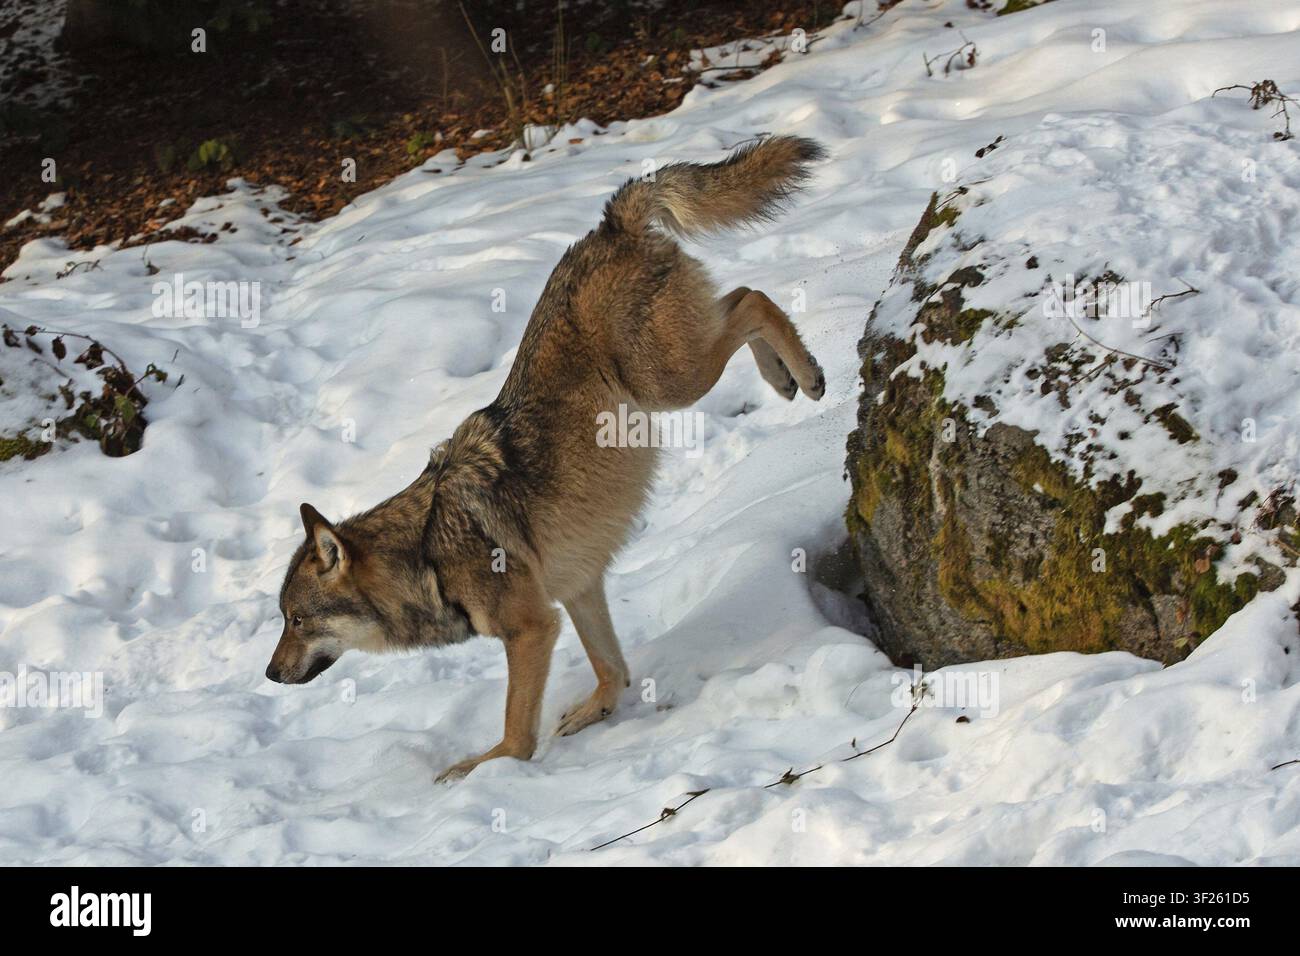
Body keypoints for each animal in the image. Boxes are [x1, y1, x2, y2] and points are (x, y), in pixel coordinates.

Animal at [266, 135, 827, 780]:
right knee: (740, 299)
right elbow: (612, 668)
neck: (427, 555)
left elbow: (515, 733)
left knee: (753, 301)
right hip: (677, 367)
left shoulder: (531, 628)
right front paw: (596, 711)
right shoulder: (579, 587)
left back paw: (805, 375)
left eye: (297, 620)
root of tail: (609, 224)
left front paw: (478, 771)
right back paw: (784, 377)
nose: (269, 673)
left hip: (670, 380)